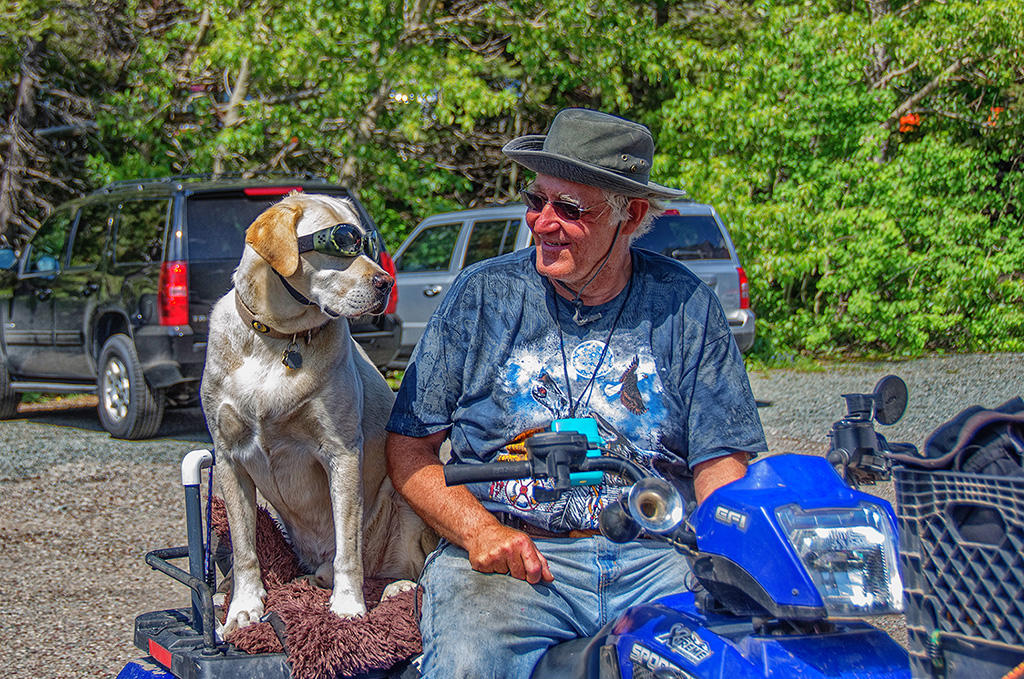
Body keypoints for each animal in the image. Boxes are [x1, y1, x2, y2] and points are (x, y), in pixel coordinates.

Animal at [202, 192, 436, 639]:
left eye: (366, 242)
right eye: (342, 241)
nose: (386, 283)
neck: (278, 340)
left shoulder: (341, 452)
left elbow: (349, 547)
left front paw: (348, 607)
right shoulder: (228, 457)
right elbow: (244, 548)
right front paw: (243, 608)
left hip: (409, 492)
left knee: (417, 568)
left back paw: (394, 587)